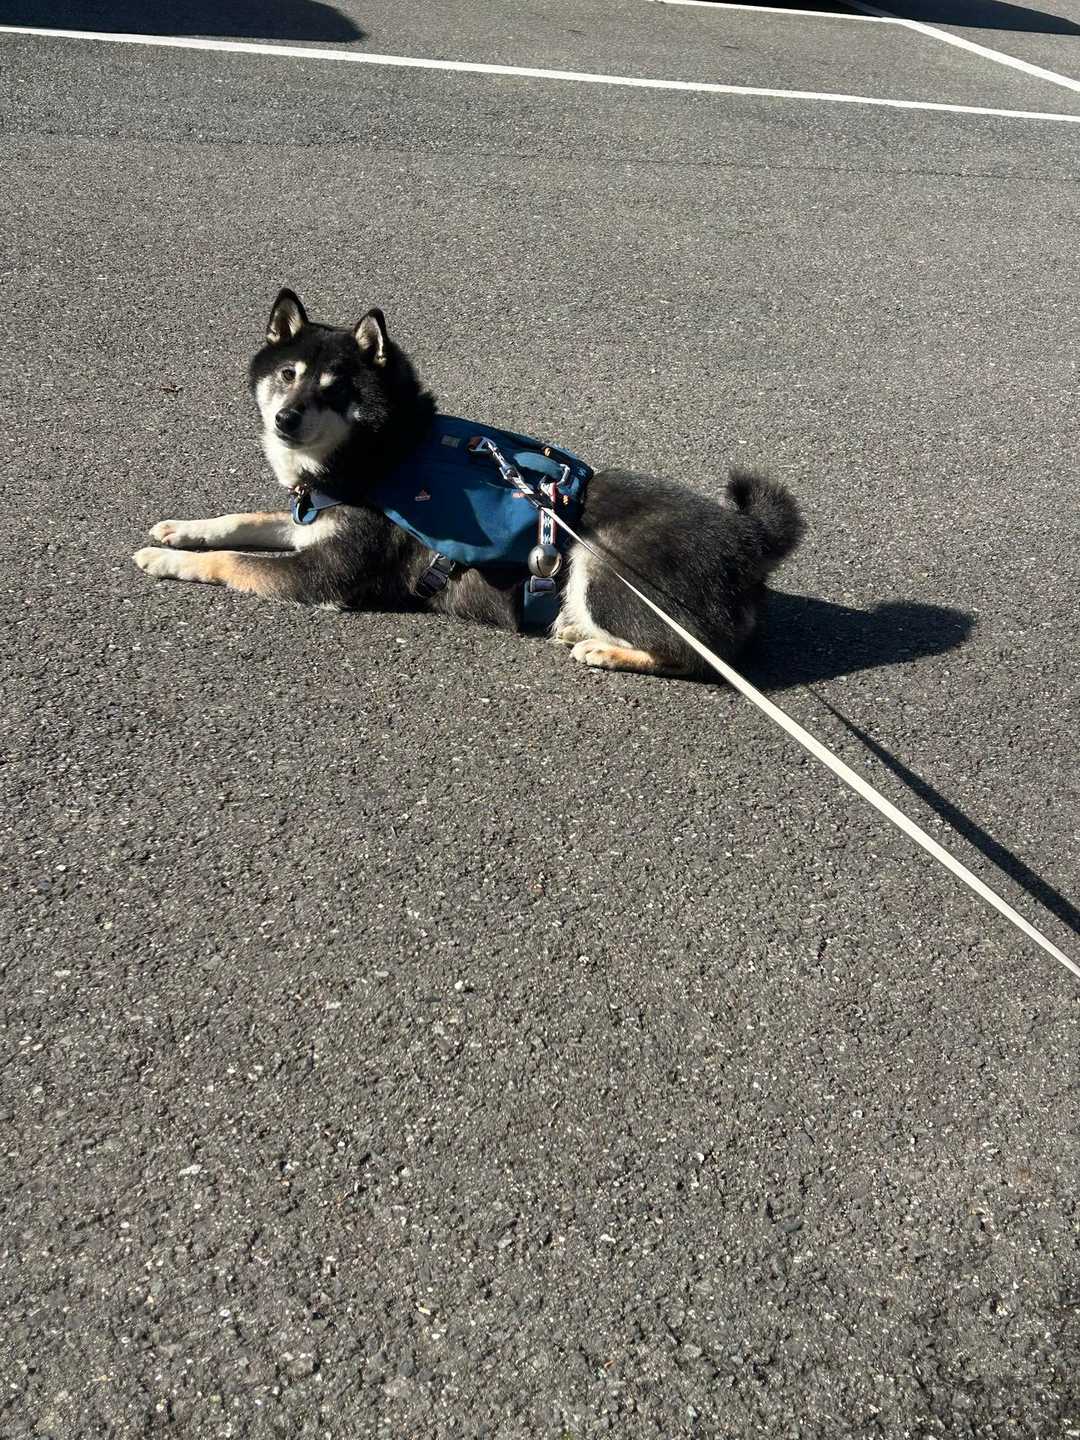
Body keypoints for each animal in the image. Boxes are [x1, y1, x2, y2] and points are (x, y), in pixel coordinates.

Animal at [134, 289, 803, 677]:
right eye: (289, 373)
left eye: (336, 388)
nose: (285, 419)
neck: (380, 455)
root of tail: (748, 541)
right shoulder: (309, 522)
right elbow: (238, 521)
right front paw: (178, 530)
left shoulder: (326, 574)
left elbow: (230, 561)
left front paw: (168, 560)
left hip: (604, 562)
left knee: (697, 656)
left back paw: (606, 648)